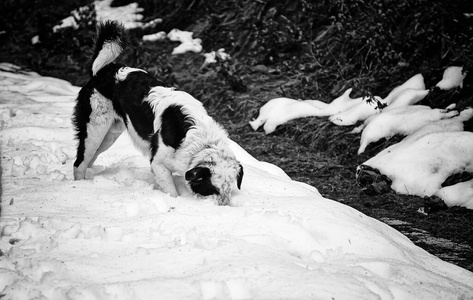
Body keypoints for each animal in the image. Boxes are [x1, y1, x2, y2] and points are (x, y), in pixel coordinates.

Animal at [74, 20, 243, 204]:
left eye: (229, 190)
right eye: (212, 190)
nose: (225, 206)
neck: (199, 140)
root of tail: (102, 71)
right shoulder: (158, 163)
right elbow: (172, 192)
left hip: (109, 135)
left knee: (89, 157)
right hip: (95, 130)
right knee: (79, 162)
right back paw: (80, 186)